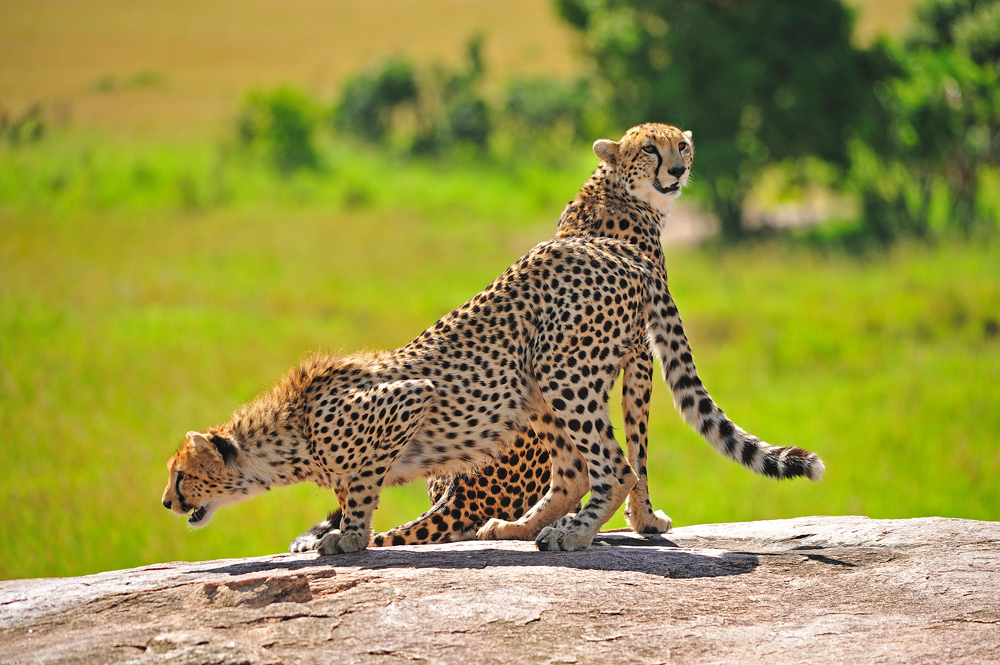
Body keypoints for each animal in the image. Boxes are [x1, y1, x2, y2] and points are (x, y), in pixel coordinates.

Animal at [162, 122, 820, 552]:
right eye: (650, 149)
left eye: (681, 146)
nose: (167, 503)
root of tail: (617, 258)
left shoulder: (408, 399)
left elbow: (638, 448)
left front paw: (347, 539)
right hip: (543, 381)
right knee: (578, 468)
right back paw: (526, 527)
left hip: (564, 371)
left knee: (608, 464)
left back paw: (570, 532)